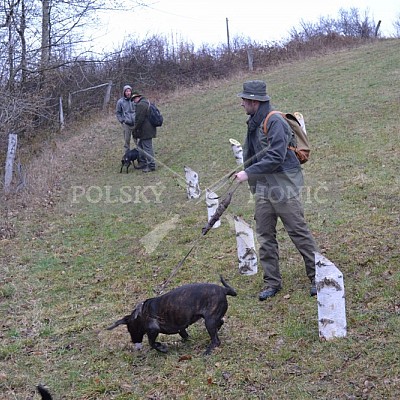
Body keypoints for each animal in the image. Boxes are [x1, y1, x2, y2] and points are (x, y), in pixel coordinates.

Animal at [108, 276, 236, 356]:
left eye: (130, 330)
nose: (133, 342)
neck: (141, 314)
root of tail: (224, 290)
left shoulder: (153, 330)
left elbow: (151, 343)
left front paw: (162, 348)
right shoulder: (181, 327)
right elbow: (184, 335)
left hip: (209, 321)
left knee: (216, 341)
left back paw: (208, 351)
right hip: (211, 319)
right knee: (220, 322)